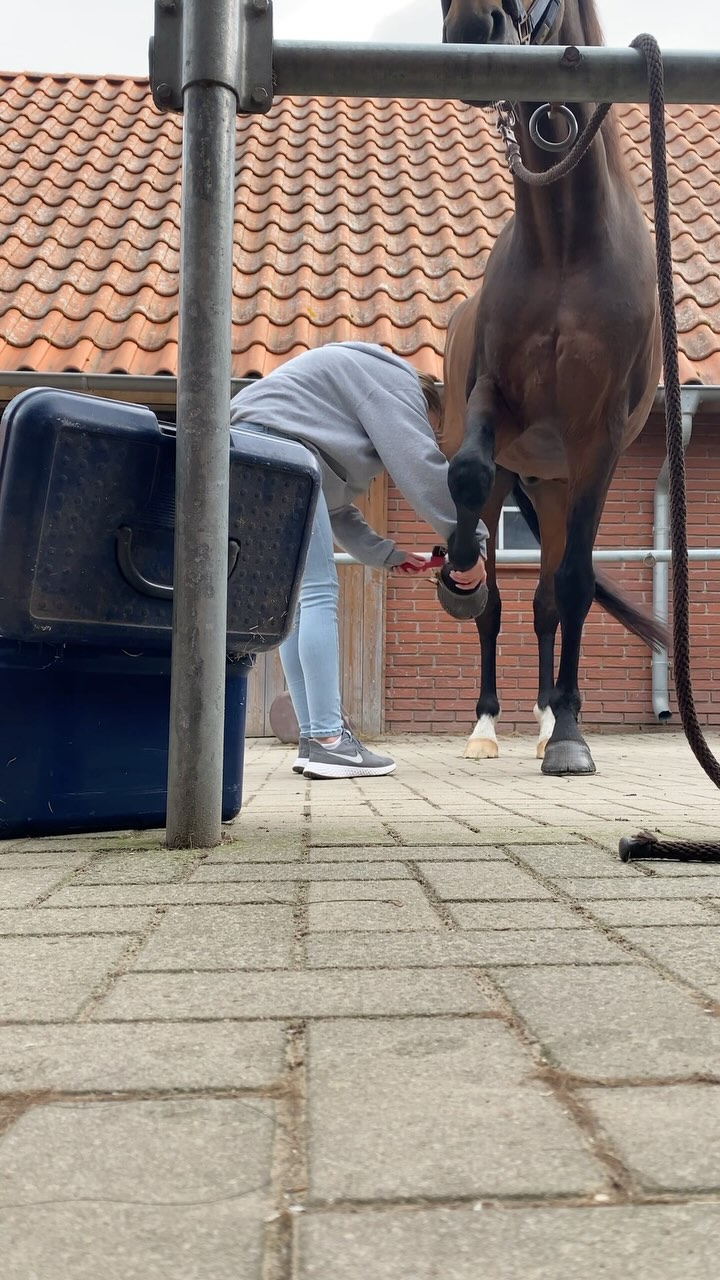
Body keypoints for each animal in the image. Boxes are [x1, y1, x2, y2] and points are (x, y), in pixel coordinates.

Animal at [438, 0, 666, 774]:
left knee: (545, 601)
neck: (567, 245)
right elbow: (467, 473)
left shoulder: (597, 442)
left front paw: (568, 734)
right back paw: (481, 727)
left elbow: (572, 586)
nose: (471, 29)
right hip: (526, 475)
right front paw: (459, 571)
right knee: (500, 606)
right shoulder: (498, 404)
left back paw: (543, 723)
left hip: (559, 487)